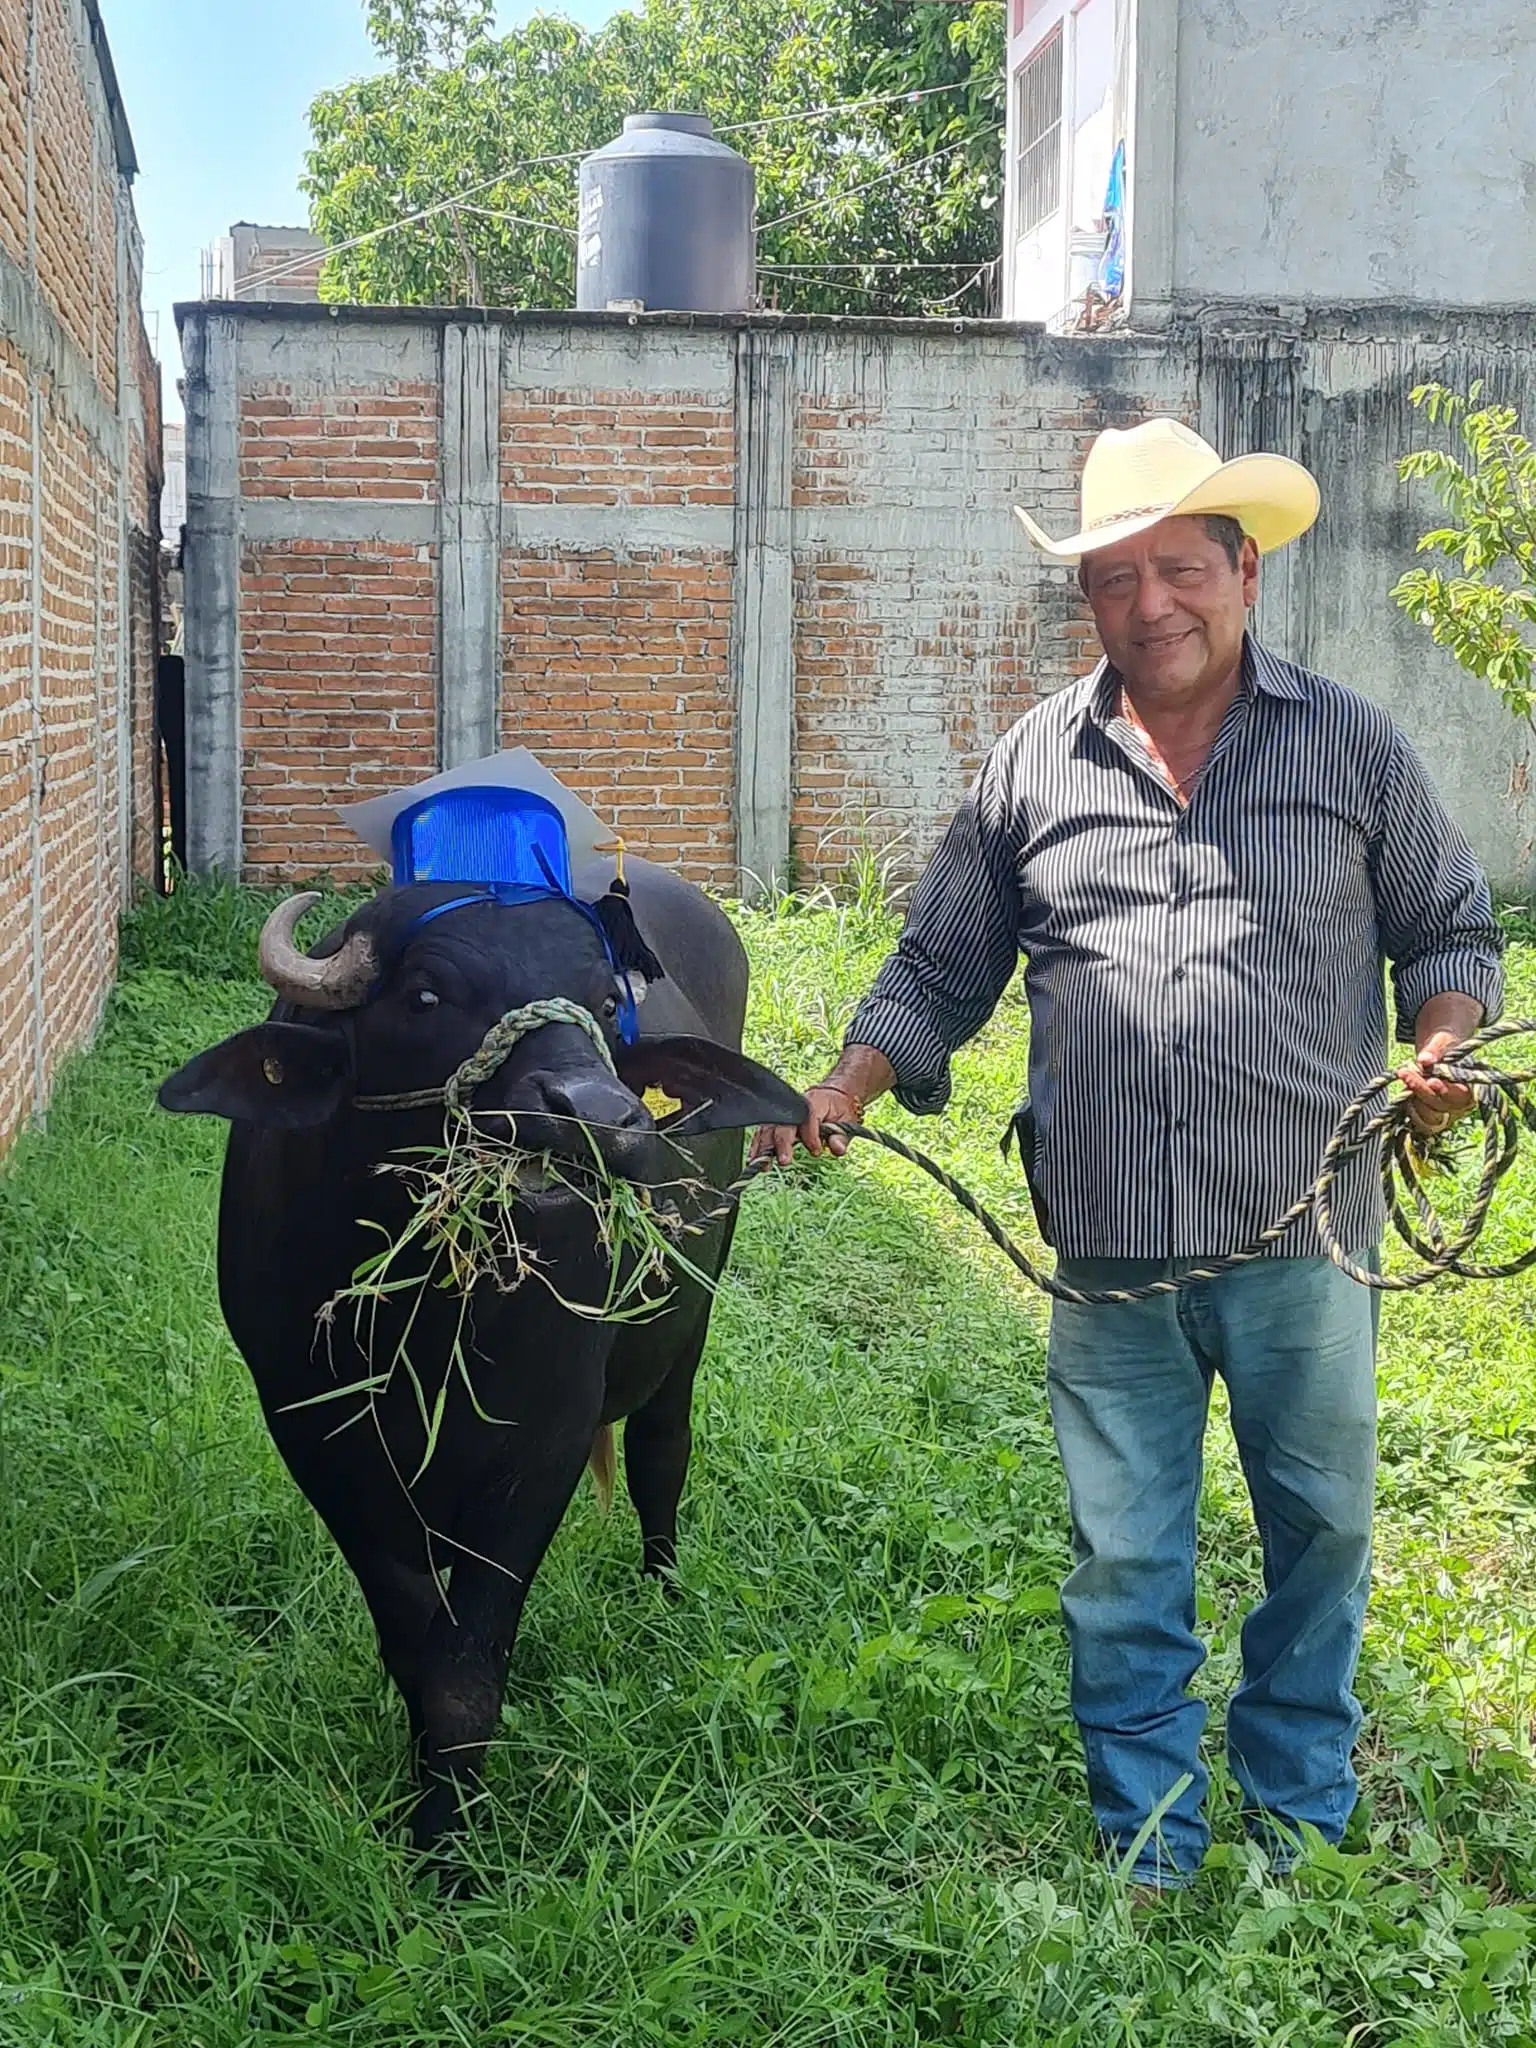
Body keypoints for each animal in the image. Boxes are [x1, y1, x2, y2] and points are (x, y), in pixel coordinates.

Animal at [156, 856, 806, 1851]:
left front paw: (447, 1847)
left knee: (663, 1452)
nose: (599, 1117)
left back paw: (661, 1591)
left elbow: (466, 1672)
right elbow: (415, 1642)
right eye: (426, 994)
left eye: (600, 998)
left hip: (687, 1316)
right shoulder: (321, 1441)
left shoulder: (537, 1449)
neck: (428, 1317)